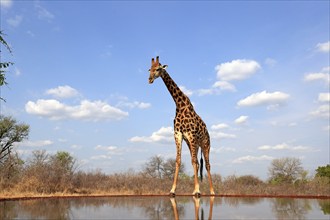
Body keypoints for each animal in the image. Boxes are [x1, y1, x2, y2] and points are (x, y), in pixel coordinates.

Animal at [148, 56, 215, 196]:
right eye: (149, 69)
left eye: (158, 69)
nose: (149, 79)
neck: (180, 104)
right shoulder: (178, 135)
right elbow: (178, 161)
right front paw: (173, 190)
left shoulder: (191, 135)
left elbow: (194, 161)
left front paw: (198, 190)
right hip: (193, 144)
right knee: (197, 163)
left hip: (205, 144)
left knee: (207, 164)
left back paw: (212, 191)